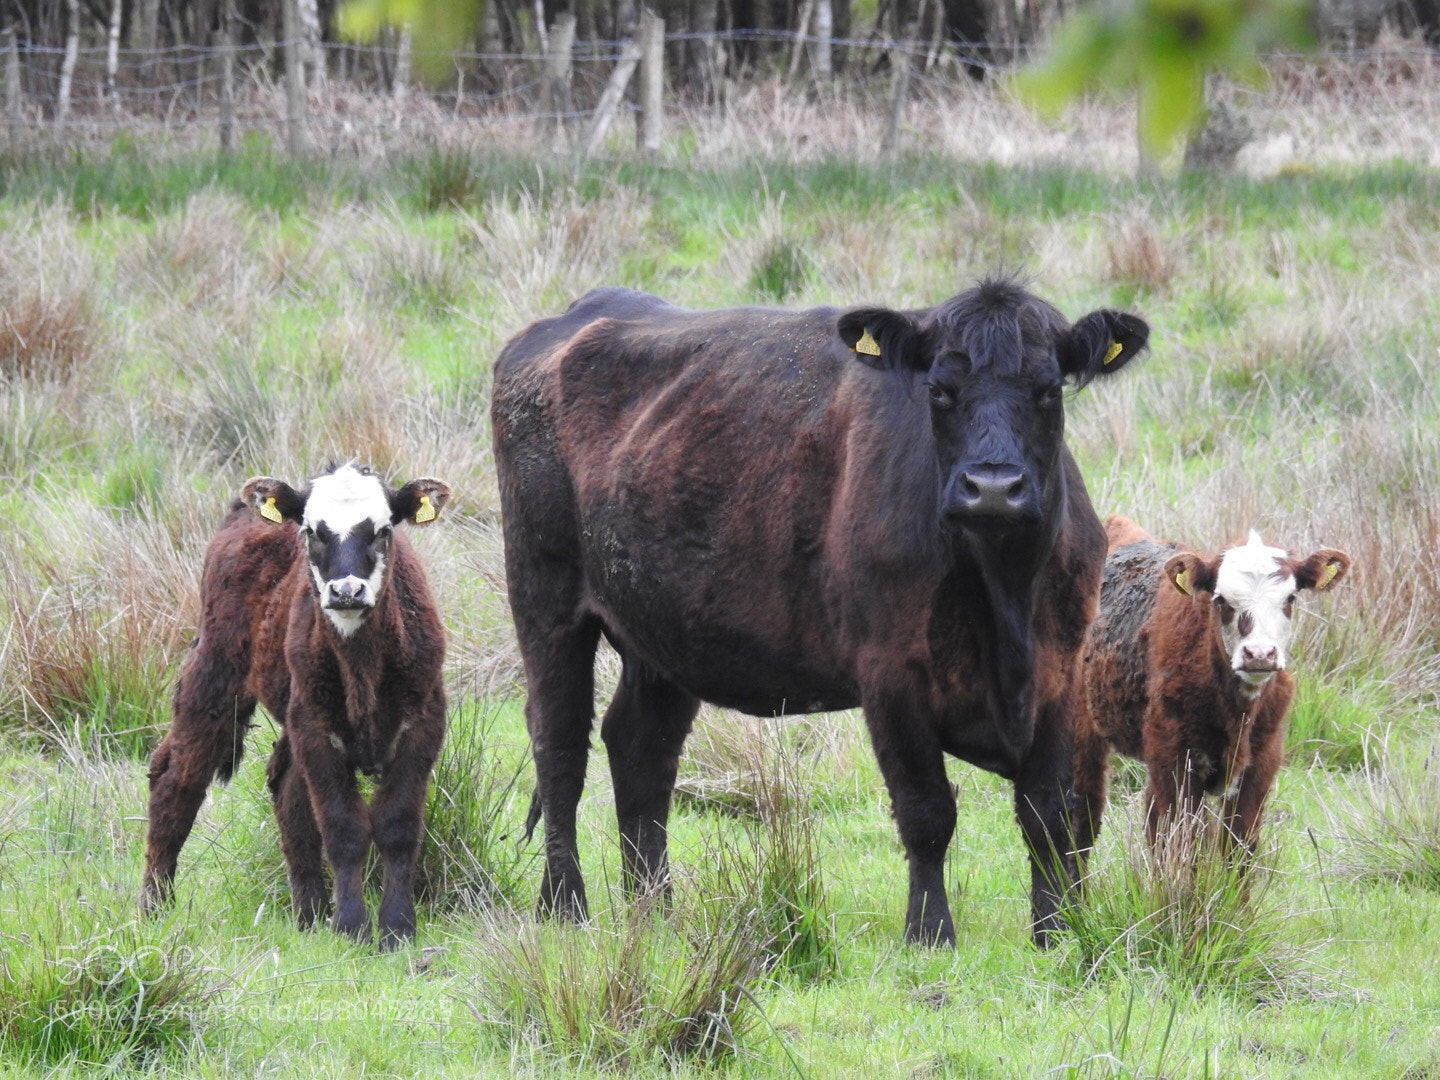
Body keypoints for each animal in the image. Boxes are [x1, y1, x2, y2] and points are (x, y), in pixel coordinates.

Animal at [141, 463, 453, 948]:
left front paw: (397, 927)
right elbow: (343, 828)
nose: (347, 591)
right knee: (175, 779)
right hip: (214, 673)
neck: (363, 667)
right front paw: (351, 927)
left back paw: (309, 913)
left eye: (383, 530)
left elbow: (397, 827)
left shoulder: (423, 724)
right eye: (311, 531)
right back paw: (155, 904)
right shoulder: (315, 728)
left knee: (284, 786)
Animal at [490, 279, 1149, 946]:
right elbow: (928, 811)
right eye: (939, 390)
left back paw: (655, 912)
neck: (1003, 592)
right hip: (546, 598)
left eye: (1049, 389)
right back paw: (565, 905)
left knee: (640, 749)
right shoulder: (891, 675)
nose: (993, 488)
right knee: (559, 747)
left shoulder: (1059, 670)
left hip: (662, 632)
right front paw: (930, 932)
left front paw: (1056, 931)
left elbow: (1050, 812)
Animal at [1073, 516, 1351, 866]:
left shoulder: (1263, 762)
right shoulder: (1174, 762)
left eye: (1290, 599)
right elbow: (1180, 847)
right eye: (1221, 600)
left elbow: (1238, 845)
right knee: (1082, 814)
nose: (1259, 654)